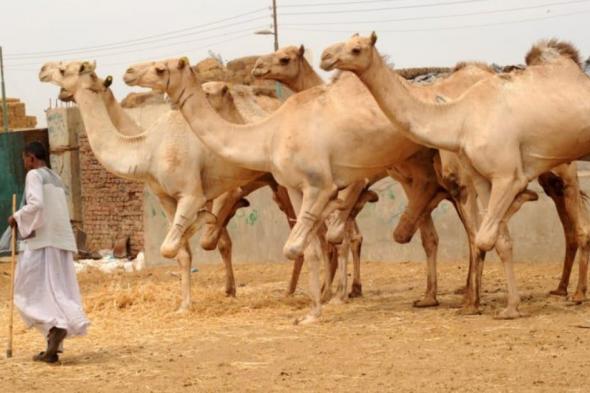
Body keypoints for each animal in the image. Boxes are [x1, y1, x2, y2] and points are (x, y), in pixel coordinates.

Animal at [324, 33, 590, 316]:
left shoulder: (498, 176)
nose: (326, 57)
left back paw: (576, 293)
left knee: (578, 222)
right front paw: (508, 307)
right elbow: (497, 239)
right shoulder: (477, 180)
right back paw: (564, 289)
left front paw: (472, 303)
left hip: (564, 171)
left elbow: (481, 237)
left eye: (356, 48)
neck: (459, 119)